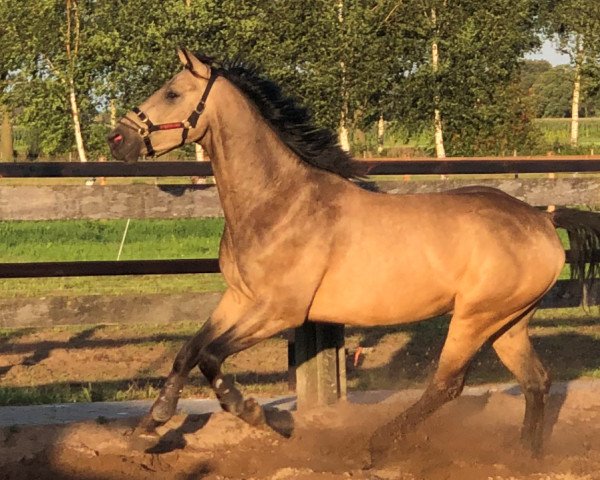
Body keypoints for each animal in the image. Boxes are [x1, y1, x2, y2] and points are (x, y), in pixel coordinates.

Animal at [108, 48, 600, 458]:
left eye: (172, 92)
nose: (118, 140)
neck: (278, 201)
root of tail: (541, 218)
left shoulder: (280, 311)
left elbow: (211, 357)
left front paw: (265, 416)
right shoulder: (240, 298)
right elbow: (188, 351)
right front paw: (147, 427)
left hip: (476, 317)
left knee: (448, 385)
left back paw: (376, 445)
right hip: (509, 322)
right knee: (536, 381)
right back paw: (525, 455)